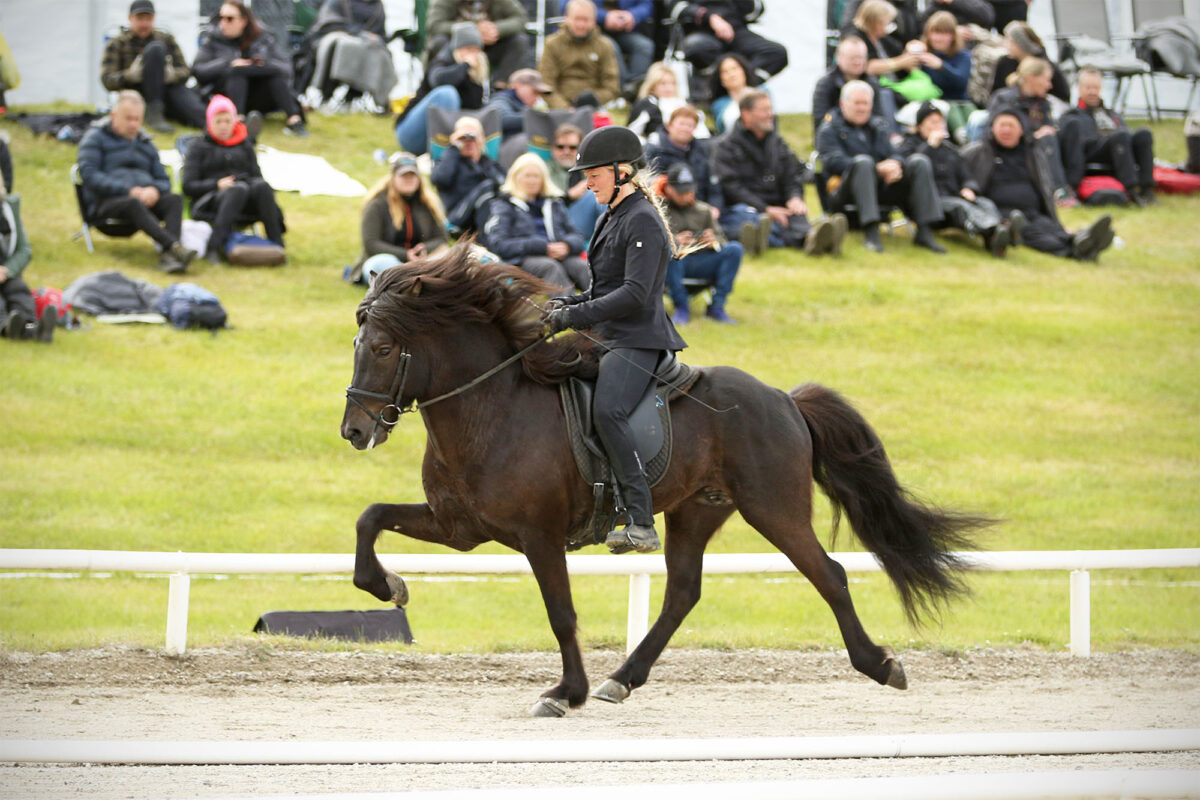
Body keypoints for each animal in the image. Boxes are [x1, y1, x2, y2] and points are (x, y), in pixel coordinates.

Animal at [343, 245, 988, 719]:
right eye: (356, 346)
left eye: (383, 348)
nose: (354, 430)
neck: (491, 407)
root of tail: (783, 398)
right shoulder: (460, 527)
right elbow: (370, 517)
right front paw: (387, 586)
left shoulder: (539, 536)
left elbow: (560, 613)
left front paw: (565, 693)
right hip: (696, 509)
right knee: (683, 591)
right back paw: (621, 679)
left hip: (773, 508)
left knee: (828, 575)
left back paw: (881, 665)